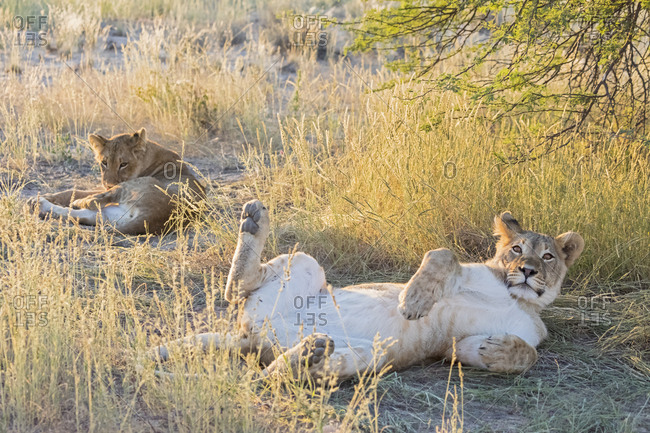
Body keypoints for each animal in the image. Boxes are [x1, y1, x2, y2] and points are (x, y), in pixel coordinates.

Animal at [31, 128, 205, 235]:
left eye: (123, 164)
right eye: (104, 162)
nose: (109, 184)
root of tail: (156, 217)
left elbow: (78, 191)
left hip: (134, 186)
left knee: (92, 202)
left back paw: (70, 202)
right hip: (113, 215)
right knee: (82, 215)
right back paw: (38, 204)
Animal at [149, 200, 584, 381]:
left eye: (547, 256)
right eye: (516, 249)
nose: (526, 271)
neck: (514, 295)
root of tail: (251, 337)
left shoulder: (458, 348)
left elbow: (525, 355)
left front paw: (498, 351)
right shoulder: (464, 269)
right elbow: (441, 256)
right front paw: (413, 301)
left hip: (370, 354)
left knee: (276, 375)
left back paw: (307, 357)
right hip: (304, 262)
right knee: (238, 286)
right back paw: (254, 221)